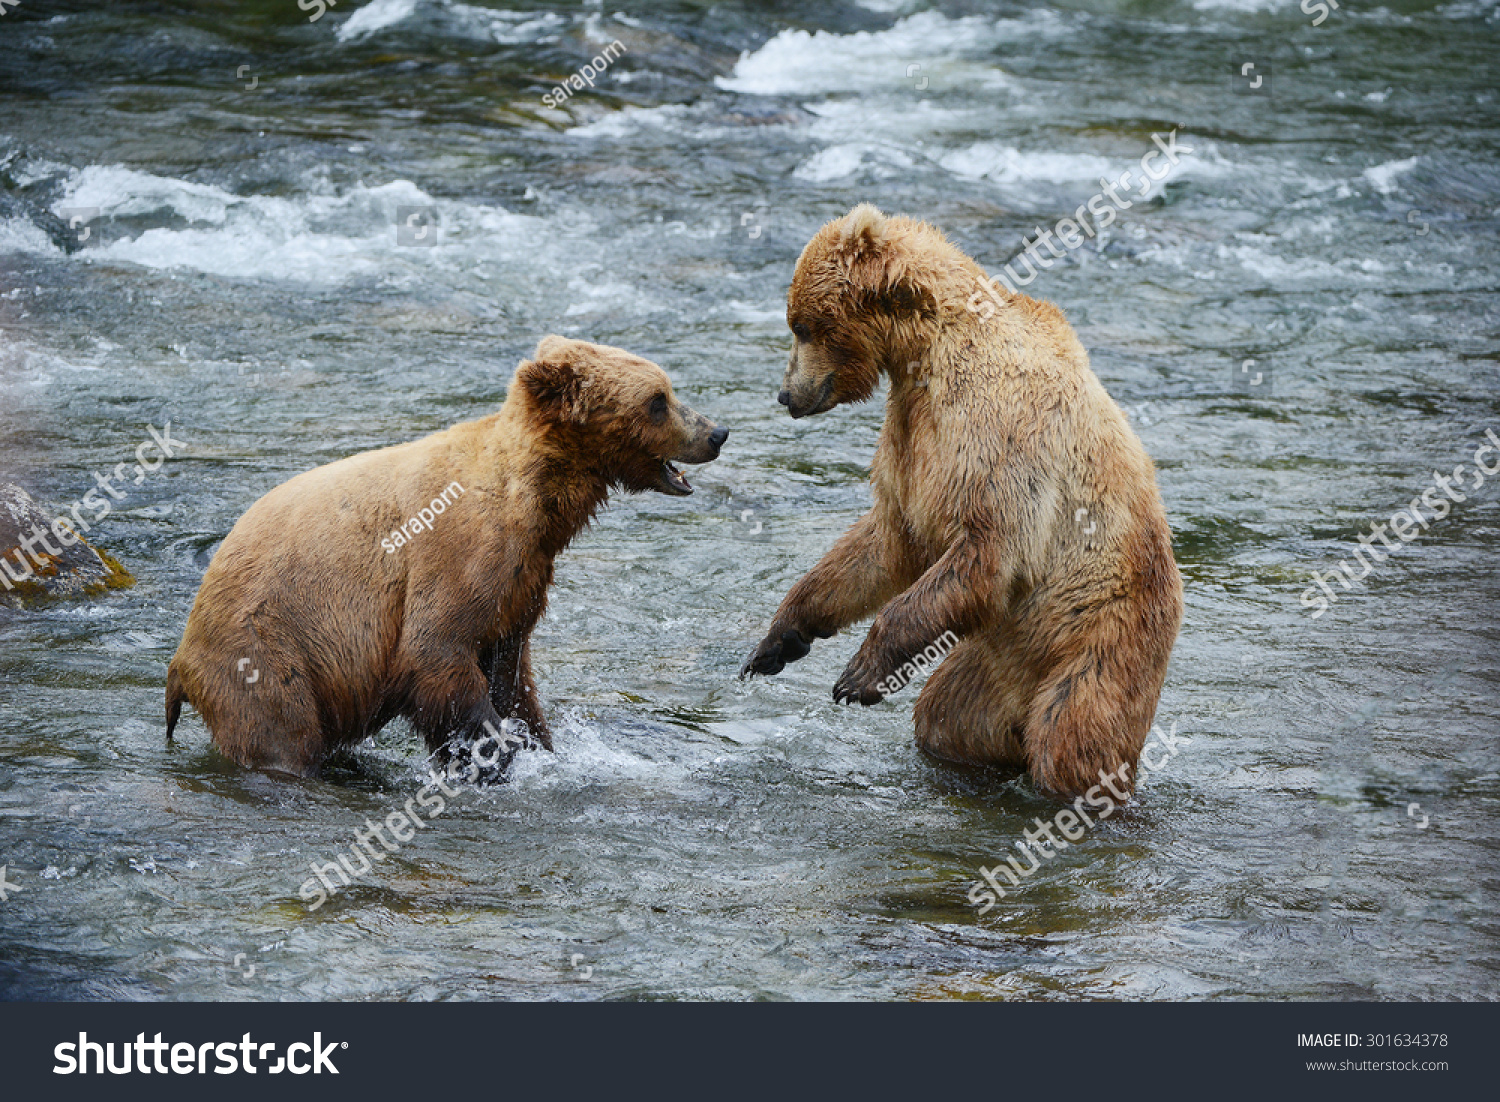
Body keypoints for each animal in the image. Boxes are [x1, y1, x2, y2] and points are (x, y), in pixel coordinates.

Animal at [167, 335, 729, 773]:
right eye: (658, 399)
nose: (716, 432)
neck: (536, 499)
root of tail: (182, 651)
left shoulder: (522, 581)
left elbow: (511, 673)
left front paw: (539, 744)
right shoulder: (459, 554)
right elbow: (437, 651)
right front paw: (495, 755)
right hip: (267, 647)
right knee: (283, 733)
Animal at [741, 202, 1182, 797]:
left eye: (803, 326)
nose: (787, 395)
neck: (923, 353)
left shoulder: (993, 428)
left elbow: (988, 549)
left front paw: (857, 676)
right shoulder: (910, 438)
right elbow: (886, 542)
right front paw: (778, 639)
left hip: (1103, 634)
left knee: (1072, 736)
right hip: (993, 662)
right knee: (948, 715)